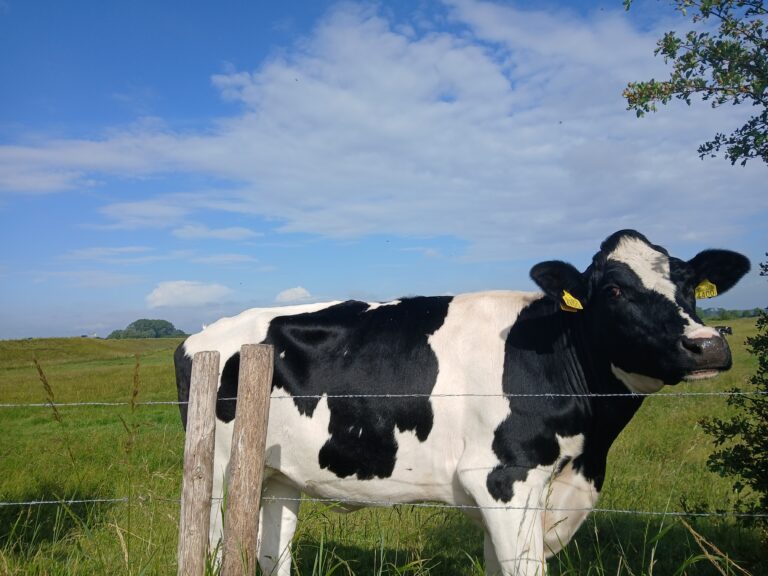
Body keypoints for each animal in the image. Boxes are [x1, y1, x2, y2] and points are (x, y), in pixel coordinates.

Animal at [174, 230, 750, 576]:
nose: (707, 345)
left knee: (271, 550)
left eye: (689, 284)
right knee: (216, 546)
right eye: (612, 291)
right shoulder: (504, 479)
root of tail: (200, 335)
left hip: (277, 475)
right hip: (218, 469)